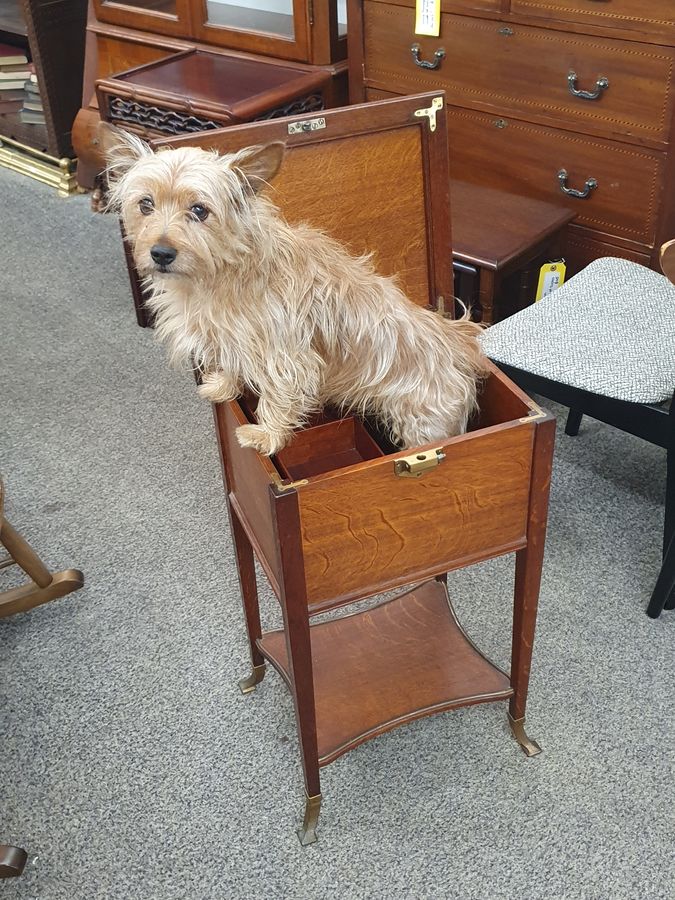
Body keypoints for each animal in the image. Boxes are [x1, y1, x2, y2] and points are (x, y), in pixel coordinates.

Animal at [103, 123, 488, 454]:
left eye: (199, 210)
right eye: (145, 204)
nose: (160, 253)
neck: (220, 273)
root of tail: (459, 340)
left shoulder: (287, 356)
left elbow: (278, 395)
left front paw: (266, 436)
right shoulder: (230, 337)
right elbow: (231, 364)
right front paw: (223, 387)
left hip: (425, 421)